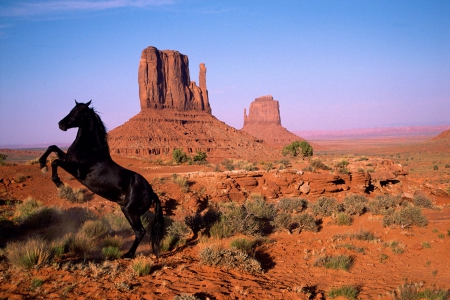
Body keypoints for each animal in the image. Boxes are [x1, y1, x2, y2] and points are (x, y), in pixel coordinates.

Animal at [39, 101, 163, 258]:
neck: (90, 149)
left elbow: (55, 162)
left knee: (140, 232)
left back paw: (128, 254)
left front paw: (58, 182)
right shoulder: (67, 159)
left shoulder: (77, 171)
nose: (61, 124)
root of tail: (151, 192)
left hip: (130, 212)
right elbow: (52, 147)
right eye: (72, 109)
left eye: (78, 111)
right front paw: (42, 163)